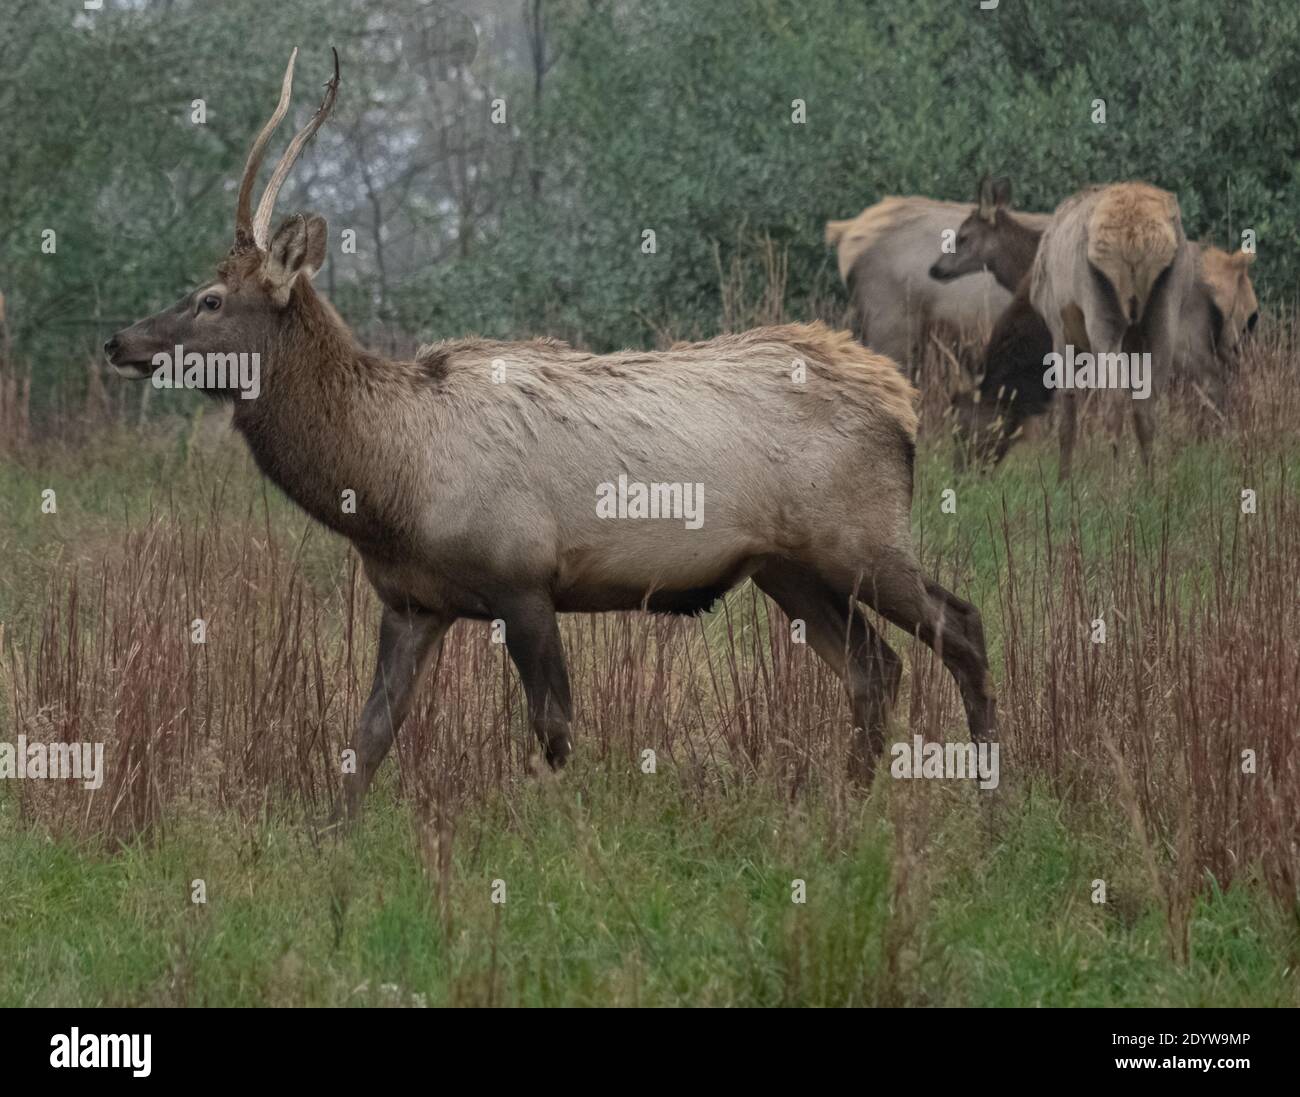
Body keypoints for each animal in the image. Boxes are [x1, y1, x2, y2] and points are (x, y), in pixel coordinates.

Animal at [103, 50, 996, 820]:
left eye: (211, 299)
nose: (119, 341)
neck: (388, 480)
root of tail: (903, 402)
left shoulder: (523, 580)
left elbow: (556, 730)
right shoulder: (412, 602)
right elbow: (368, 738)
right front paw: (331, 845)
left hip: (860, 537)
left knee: (961, 626)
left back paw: (993, 801)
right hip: (788, 566)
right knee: (876, 667)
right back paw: (848, 805)